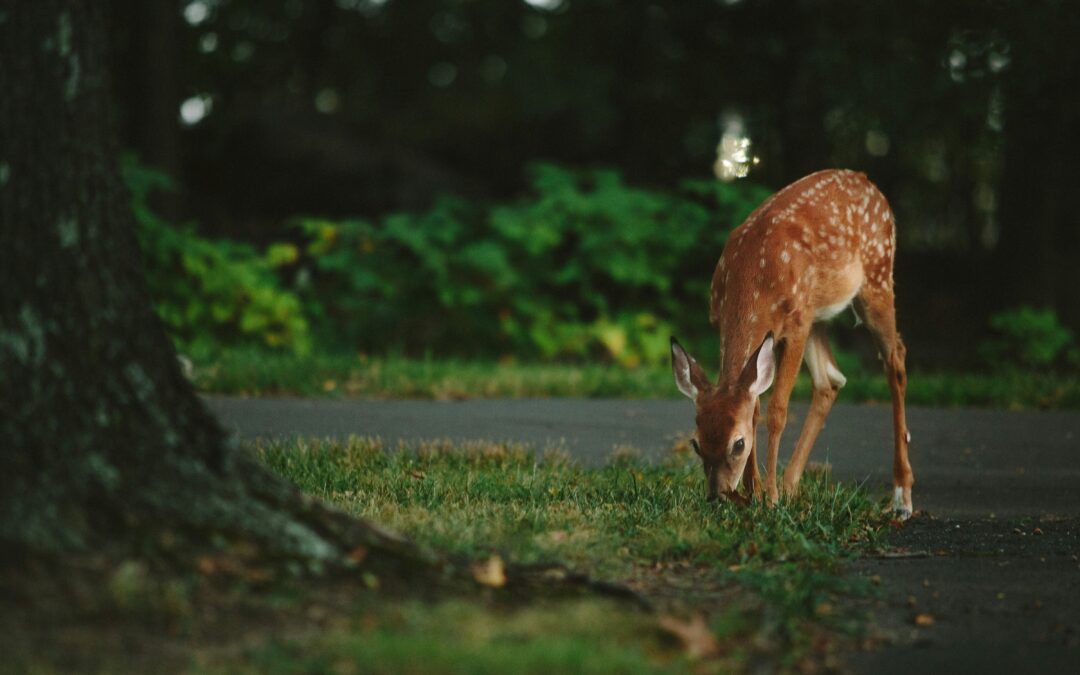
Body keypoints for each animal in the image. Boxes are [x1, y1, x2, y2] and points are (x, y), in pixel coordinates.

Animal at [669, 168, 915, 516]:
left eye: (738, 444)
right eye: (696, 443)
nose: (717, 496)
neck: (753, 278)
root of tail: (868, 181)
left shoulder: (795, 325)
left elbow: (776, 410)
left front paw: (768, 498)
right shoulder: (726, 322)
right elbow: (754, 406)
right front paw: (755, 493)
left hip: (876, 277)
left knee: (896, 361)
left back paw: (902, 496)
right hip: (818, 314)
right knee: (831, 380)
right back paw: (790, 486)